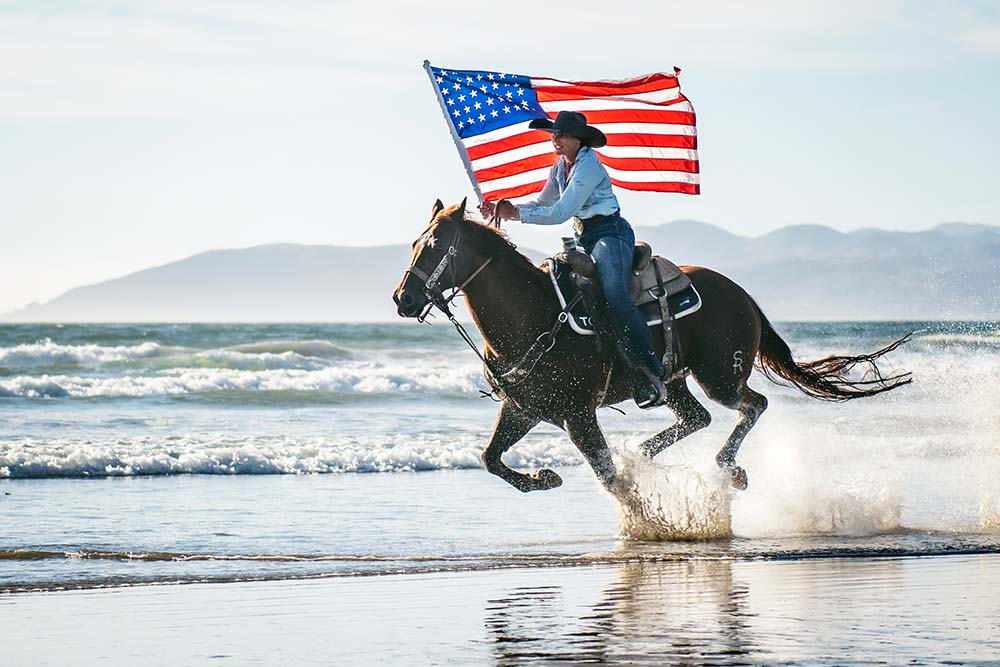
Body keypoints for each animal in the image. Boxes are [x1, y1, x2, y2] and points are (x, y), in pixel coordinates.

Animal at [392, 201, 916, 494]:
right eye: (414, 242)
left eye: (435, 245)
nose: (403, 298)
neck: (534, 315)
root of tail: (742, 295)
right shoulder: (525, 408)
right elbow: (490, 457)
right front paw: (543, 478)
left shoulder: (578, 414)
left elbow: (607, 476)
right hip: (674, 380)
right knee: (697, 417)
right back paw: (645, 453)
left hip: (720, 376)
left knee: (753, 405)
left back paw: (727, 468)